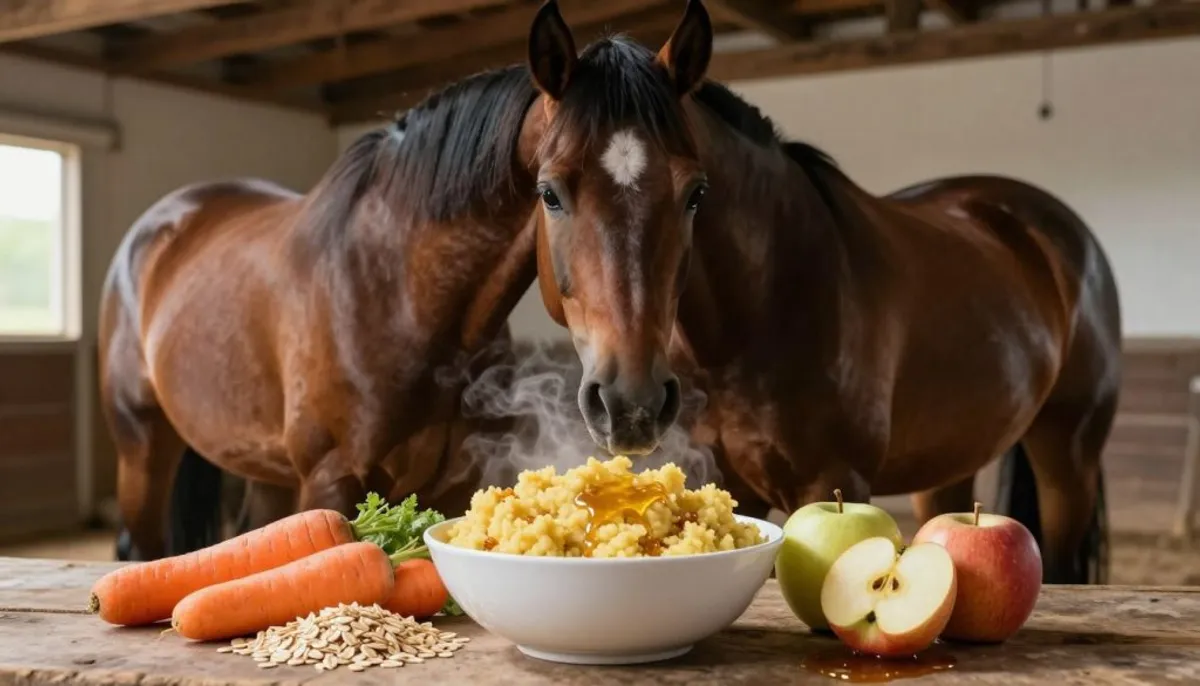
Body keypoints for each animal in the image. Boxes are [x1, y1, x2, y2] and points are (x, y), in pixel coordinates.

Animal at [513, 0, 1121, 584]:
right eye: (549, 192)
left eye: (696, 193)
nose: (631, 404)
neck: (763, 312)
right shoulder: (732, 481)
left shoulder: (834, 479)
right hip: (950, 463)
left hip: (1067, 457)